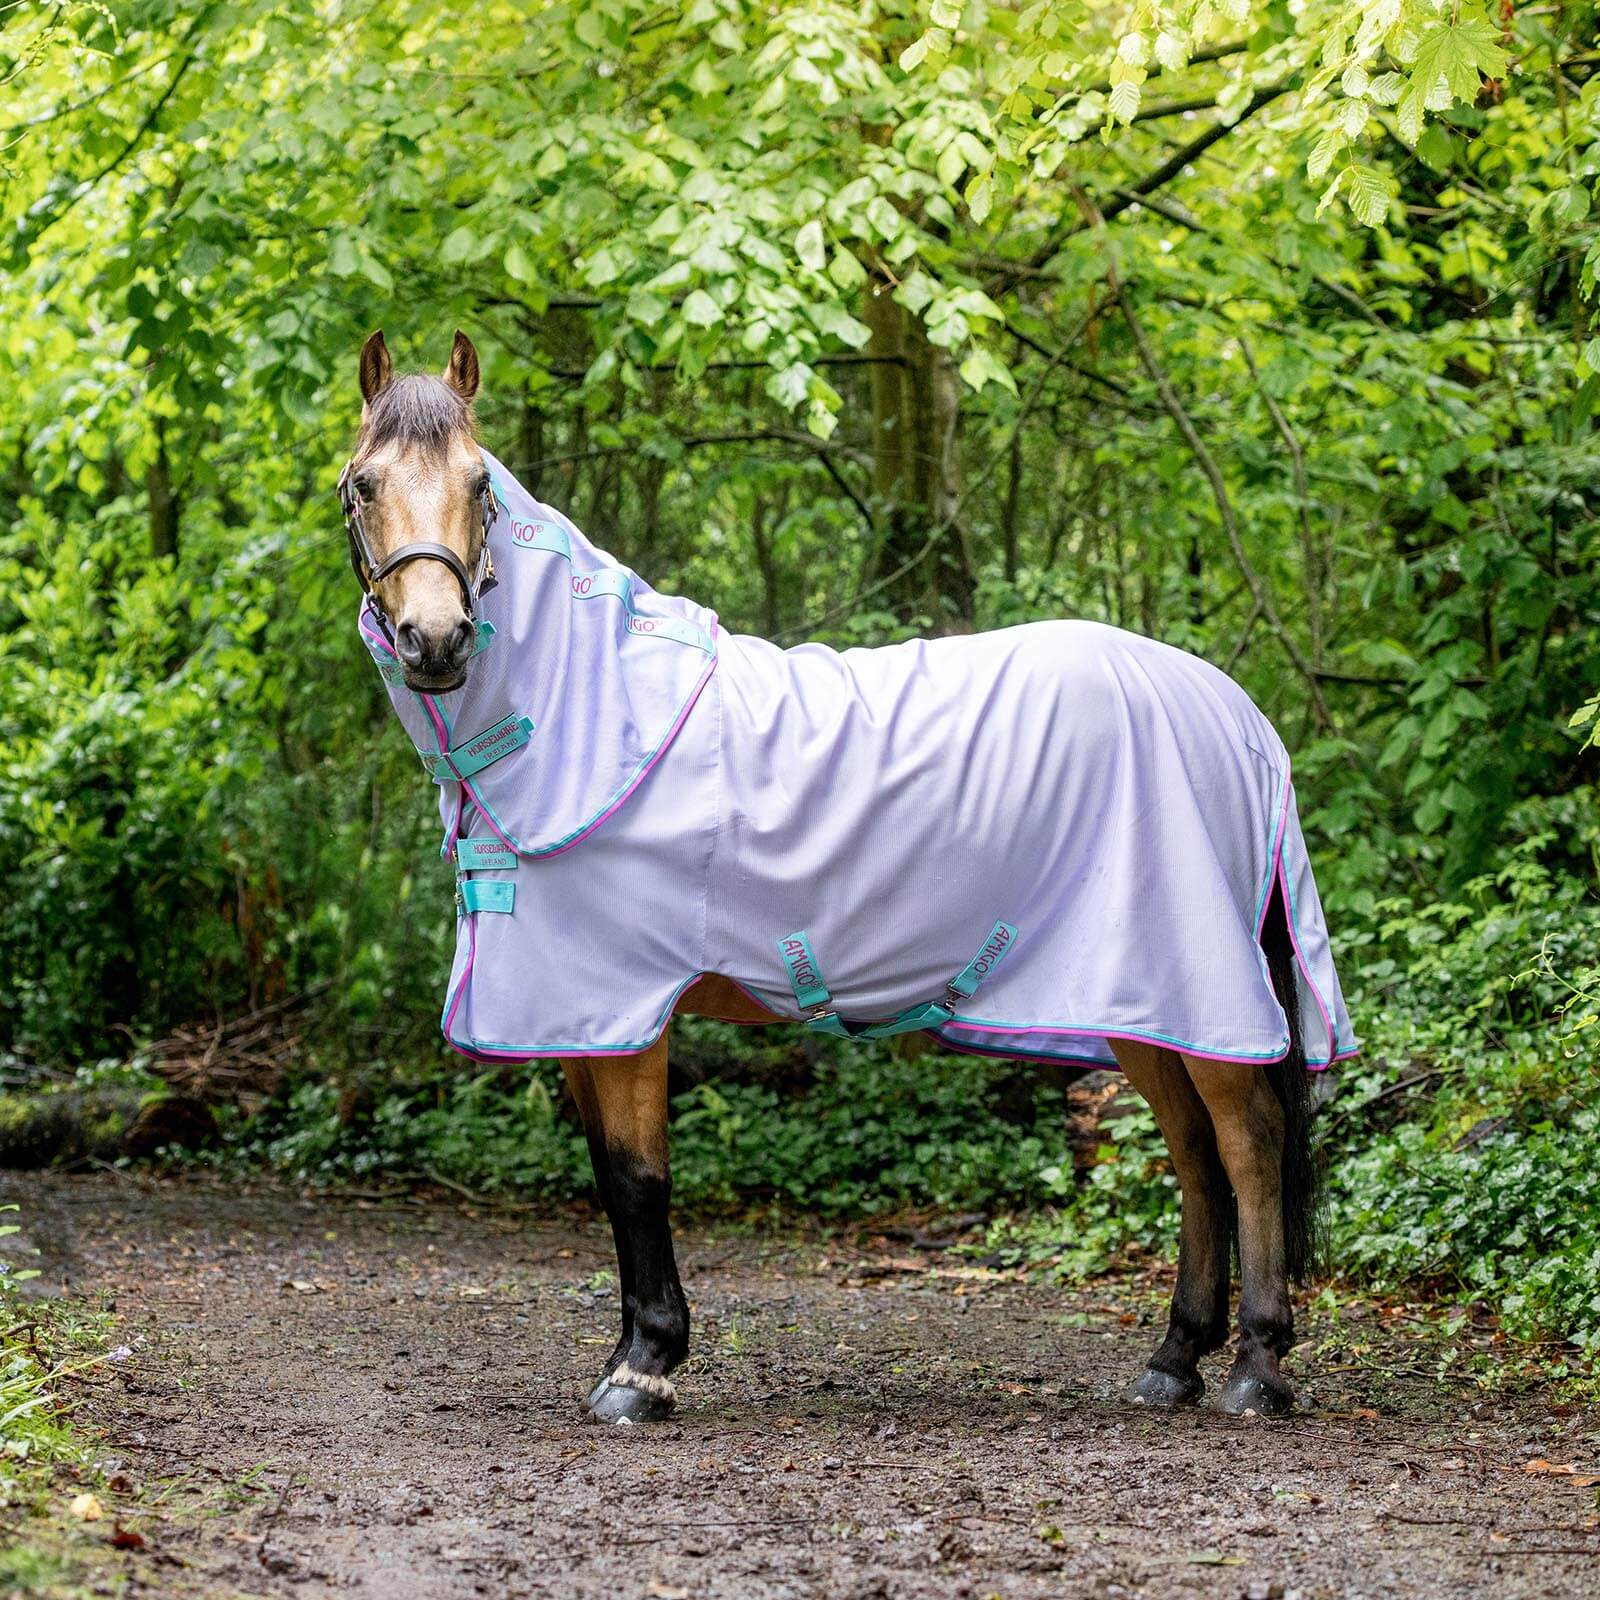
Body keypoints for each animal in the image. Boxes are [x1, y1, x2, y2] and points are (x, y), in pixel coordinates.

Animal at [339, 329, 1357, 1426]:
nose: (436, 641)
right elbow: (611, 1179)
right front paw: (633, 1352)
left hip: (1200, 987)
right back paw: (1174, 1358)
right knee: (1193, 1155)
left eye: (481, 486)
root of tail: (1233, 711)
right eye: (364, 484)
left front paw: (644, 1367)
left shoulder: (627, 1007)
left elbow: (640, 1178)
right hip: (1141, 998)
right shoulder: (576, 1015)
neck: (602, 709)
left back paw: (1257, 1367)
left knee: (1247, 1140)